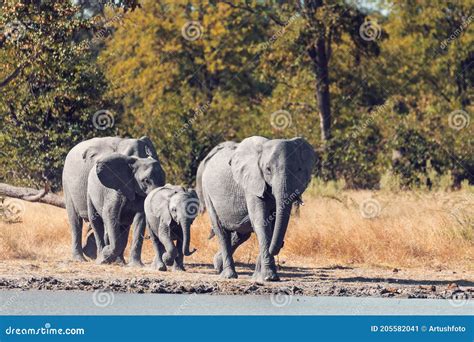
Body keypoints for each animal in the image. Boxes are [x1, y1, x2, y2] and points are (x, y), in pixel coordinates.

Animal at [62, 136, 167, 264]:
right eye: (146, 181)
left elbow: (140, 219)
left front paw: (135, 265)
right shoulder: (112, 187)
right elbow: (109, 215)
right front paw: (106, 254)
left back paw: (118, 261)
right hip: (69, 185)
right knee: (79, 221)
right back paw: (84, 259)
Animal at [196, 136, 314, 280]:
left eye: (299, 169)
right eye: (268, 169)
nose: (282, 244)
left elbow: (272, 225)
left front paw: (260, 277)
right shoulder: (252, 183)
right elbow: (262, 222)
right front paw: (270, 277)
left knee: (241, 234)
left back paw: (217, 265)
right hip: (206, 192)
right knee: (222, 232)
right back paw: (228, 275)